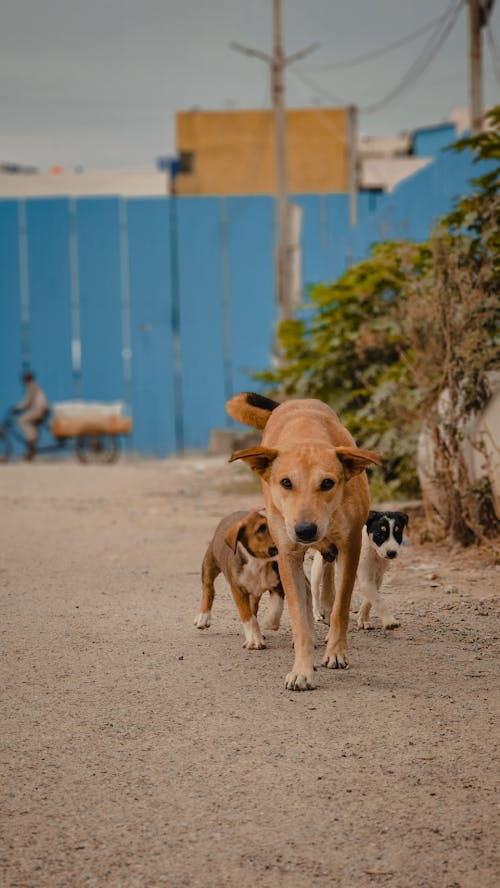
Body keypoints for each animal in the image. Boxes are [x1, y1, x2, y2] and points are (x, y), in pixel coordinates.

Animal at [193, 510, 284, 648]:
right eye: (262, 528)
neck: (259, 563)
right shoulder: (238, 590)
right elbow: (247, 616)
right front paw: (254, 640)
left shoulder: (278, 584)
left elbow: (276, 606)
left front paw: (270, 623)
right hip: (210, 563)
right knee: (208, 587)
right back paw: (203, 617)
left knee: (254, 608)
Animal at [225, 392, 380, 692]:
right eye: (286, 483)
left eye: (328, 483)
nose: (305, 530)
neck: (307, 435)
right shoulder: (287, 555)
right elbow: (299, 617)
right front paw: (302, 670)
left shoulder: (351, 545)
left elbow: (342, 607)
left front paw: (336, 653)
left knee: (329, 575)